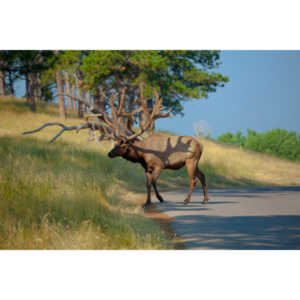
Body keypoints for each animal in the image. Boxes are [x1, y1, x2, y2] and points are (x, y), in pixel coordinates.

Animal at [22, 88, 209, 207]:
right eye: (115, 143)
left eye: (121, 145)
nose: (109, 153)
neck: (142, 155)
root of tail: (201, 145)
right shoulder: (147, 168)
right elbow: (147, 184)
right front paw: (147, 202)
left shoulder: (158, 165)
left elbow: (154, 182)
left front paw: (160, 198)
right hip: (196, 162)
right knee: (203, 175)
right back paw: (205, 199)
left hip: (190, 160)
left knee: (193, 179)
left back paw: (187, 200)